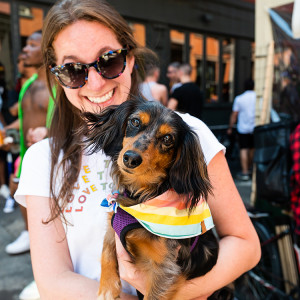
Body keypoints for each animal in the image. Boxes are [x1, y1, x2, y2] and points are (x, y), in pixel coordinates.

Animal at [84, 99, 223, 300]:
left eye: (167, 139)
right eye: (135, 122)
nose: (130, 158)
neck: (141, 194)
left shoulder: (165, 269)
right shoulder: (114, 222)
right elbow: (106, 248)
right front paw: (107, 289)